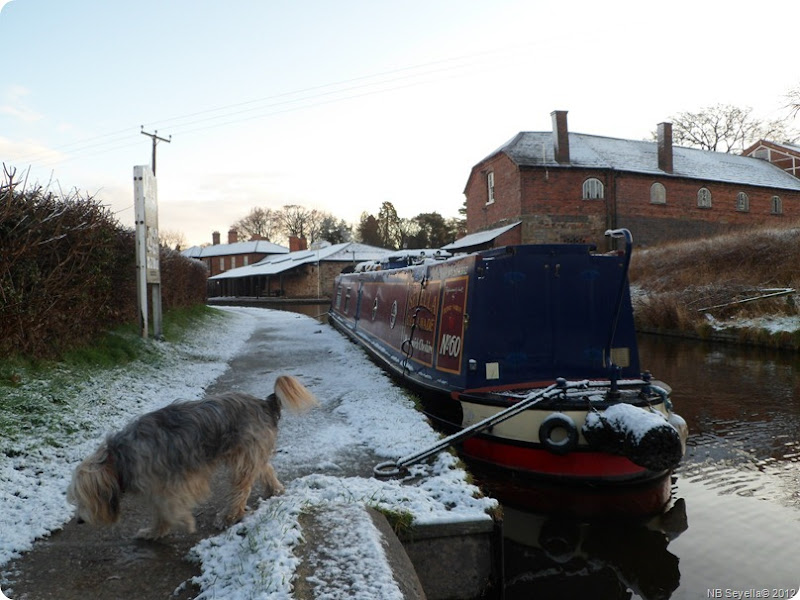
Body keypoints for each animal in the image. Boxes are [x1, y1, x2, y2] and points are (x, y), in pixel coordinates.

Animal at [66, 376, 316, 540]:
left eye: (83, 497)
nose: (79, 520)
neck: (119, 457)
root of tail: (263, 403)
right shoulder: (159, 487)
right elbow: (160, 511)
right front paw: (154, 532)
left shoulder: (178, 480)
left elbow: (170, 507)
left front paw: (184, 521)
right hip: (250, 453)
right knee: (265, 469)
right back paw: (275, 489)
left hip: (244, 456)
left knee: (241, 488)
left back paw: (229, 516)